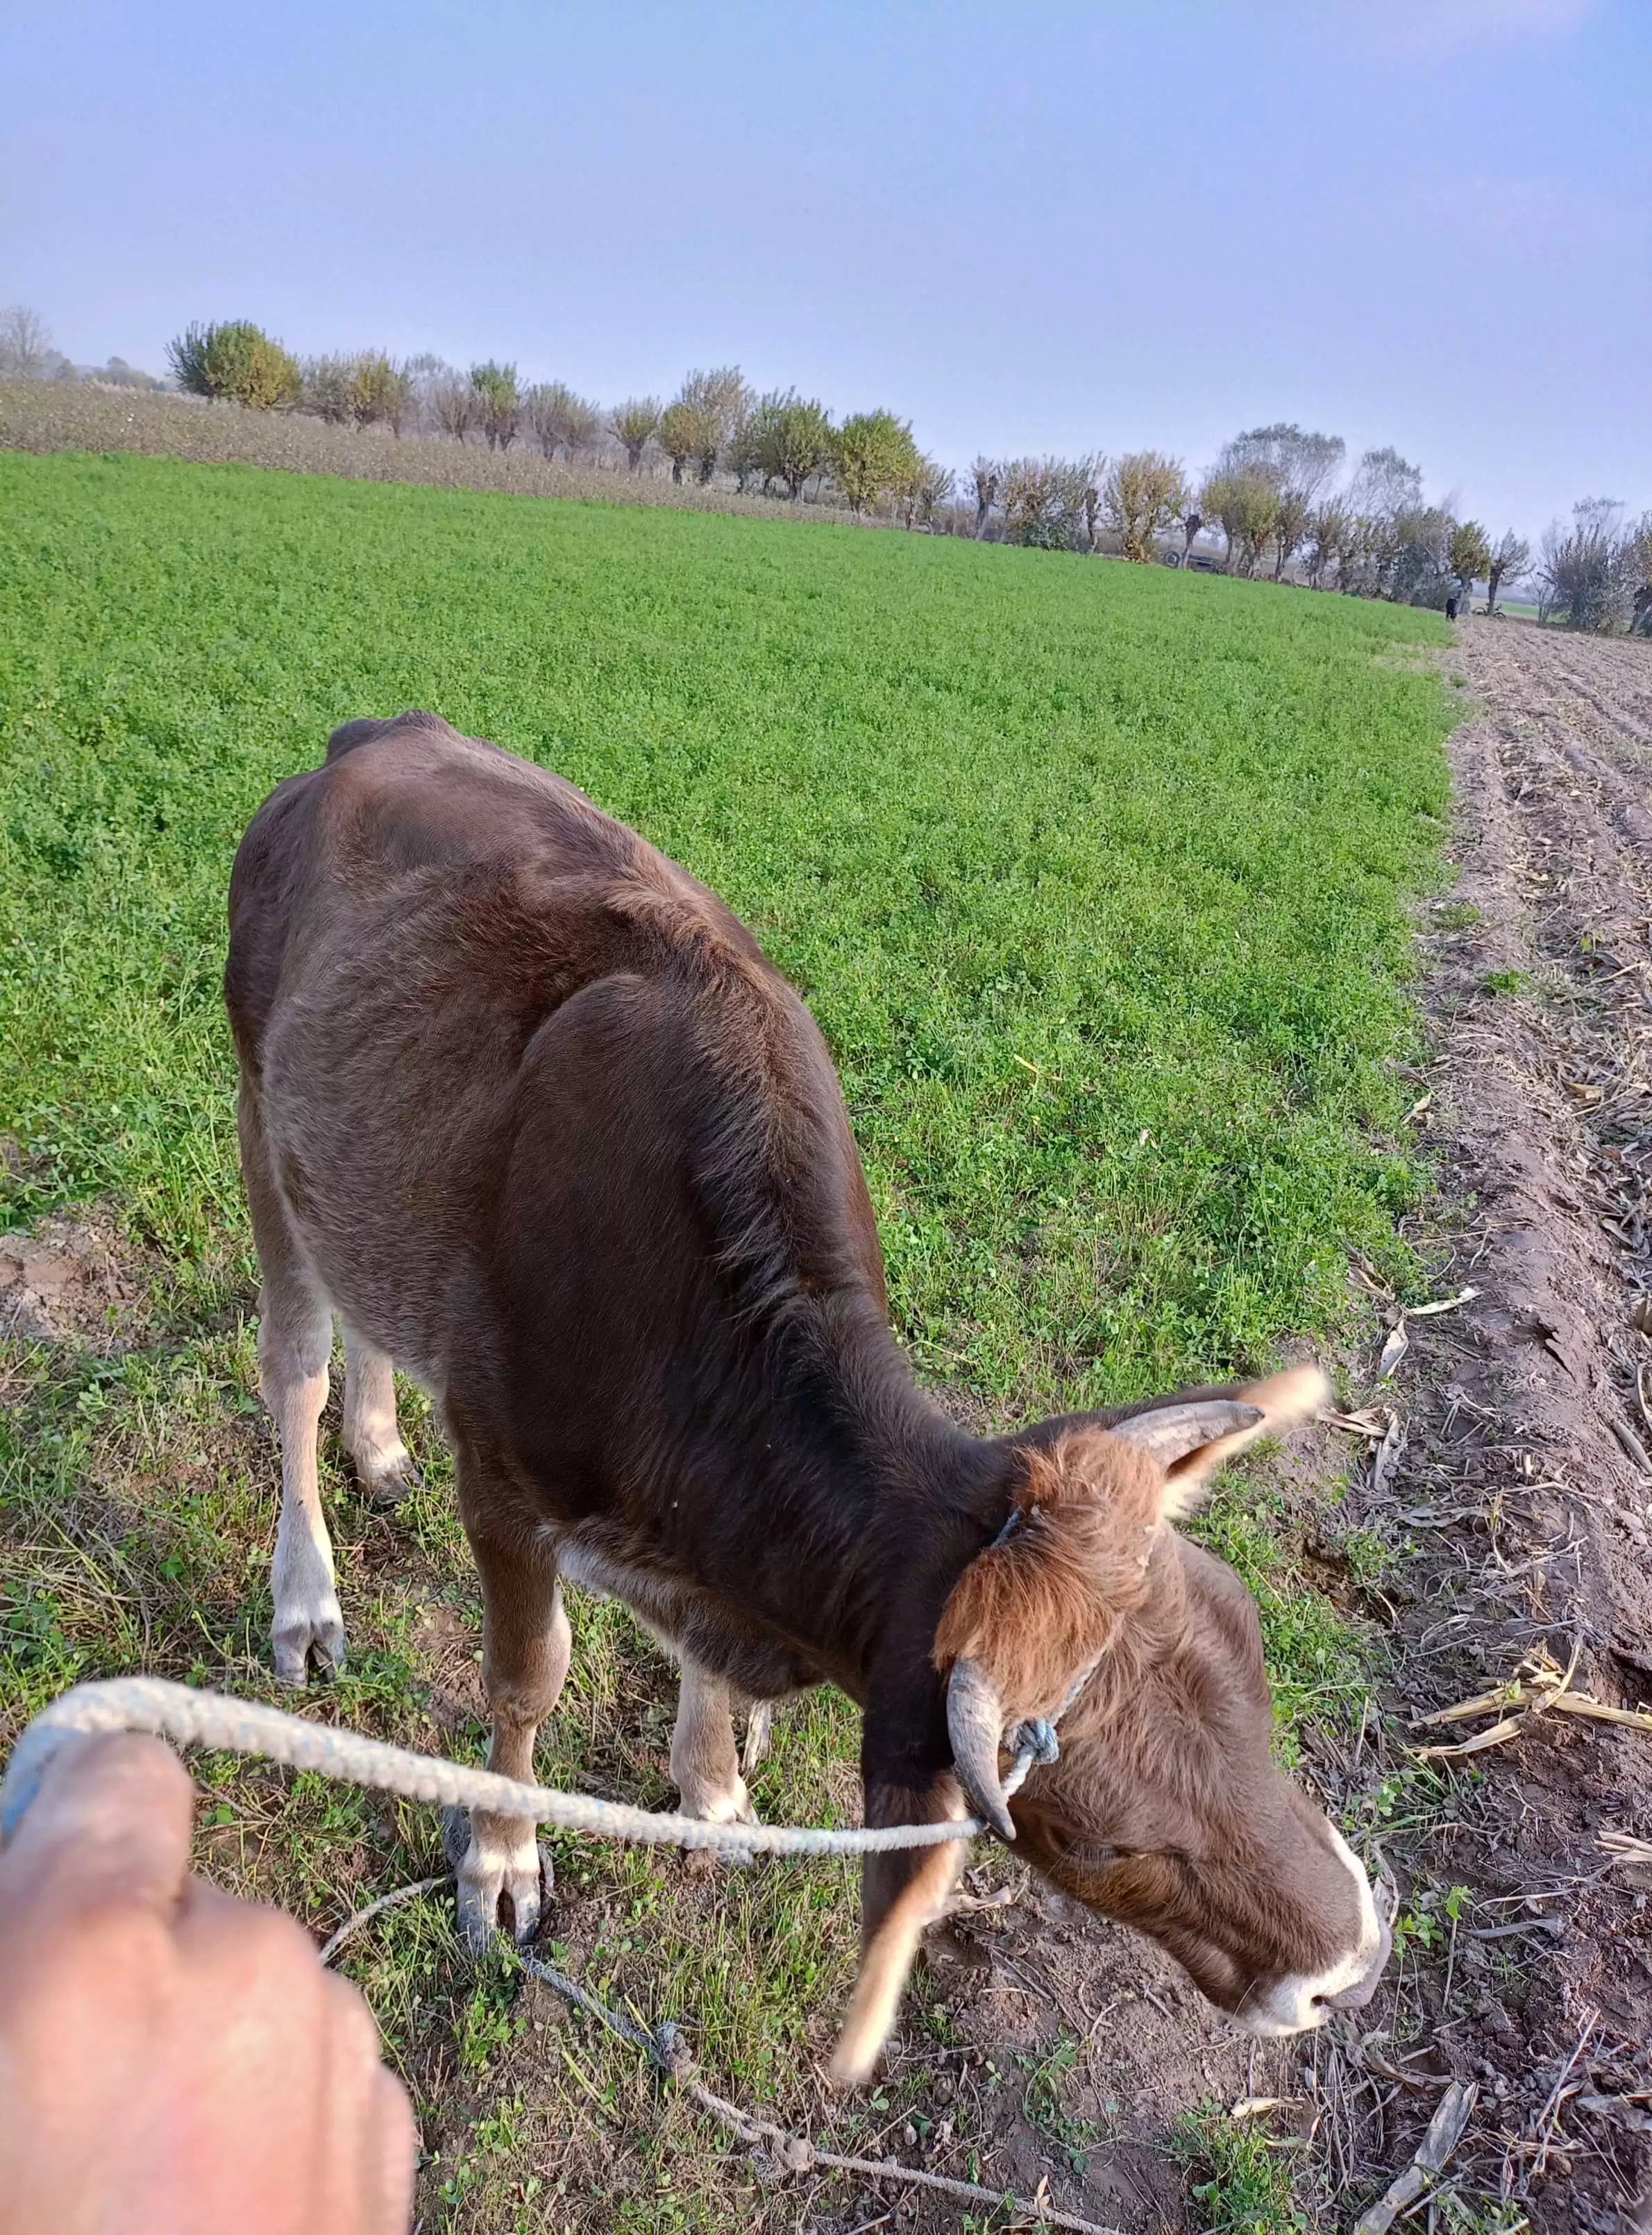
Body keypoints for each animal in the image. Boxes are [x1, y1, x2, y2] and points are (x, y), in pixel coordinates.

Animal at [224, 712, 1389, 2085]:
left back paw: (379, 1438)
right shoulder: (507, 1484)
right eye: (1102, 1844)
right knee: (294, 1359)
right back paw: (308, 1588)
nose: (1350, 1964)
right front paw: (502, 1860)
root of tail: (374, 734)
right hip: (260, 1107)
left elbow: (690, 1671)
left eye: (1252, 1659)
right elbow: (527, 1682)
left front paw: (714, 1784)